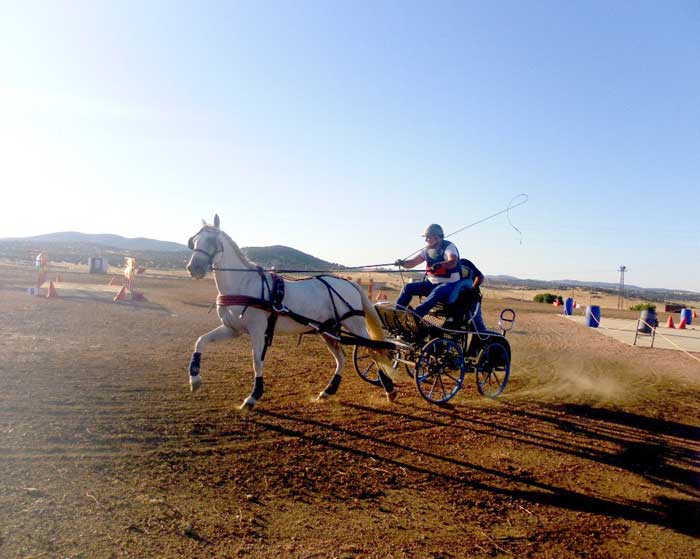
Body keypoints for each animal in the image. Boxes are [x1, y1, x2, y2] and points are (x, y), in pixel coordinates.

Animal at [186, 215, 396, 412]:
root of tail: (350, 283)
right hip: (328, 330)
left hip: (354, 325)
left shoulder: (257, 330)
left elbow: (257, 361)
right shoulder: (232, 329)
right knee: (342, 358)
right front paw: (195, 379)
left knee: (373, 351)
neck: (244, 284)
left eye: (212, 240)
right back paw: (328, 391)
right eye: (194, 241)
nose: (193, 268)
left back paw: (389, 389)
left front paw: (253, 396)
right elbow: (200, 341)